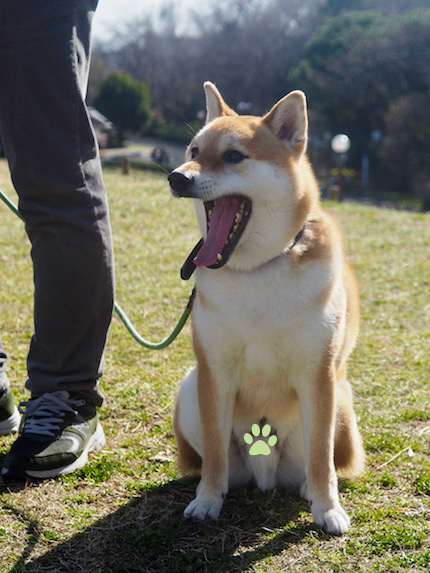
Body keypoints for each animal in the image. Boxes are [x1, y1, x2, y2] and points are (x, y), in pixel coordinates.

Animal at [167, 80, 362, 532]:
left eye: (234, 156)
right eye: (194, 150)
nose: (177, 177)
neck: (257, 269)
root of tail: (266, 470)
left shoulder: (318, 375)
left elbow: (321, 457)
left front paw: (328, 509)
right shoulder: (213, 372)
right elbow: (214, 454)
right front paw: (207, 500)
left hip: (341, 400)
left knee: (320, 459)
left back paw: (309, 490)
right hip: (189, 390)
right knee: (220, 463)